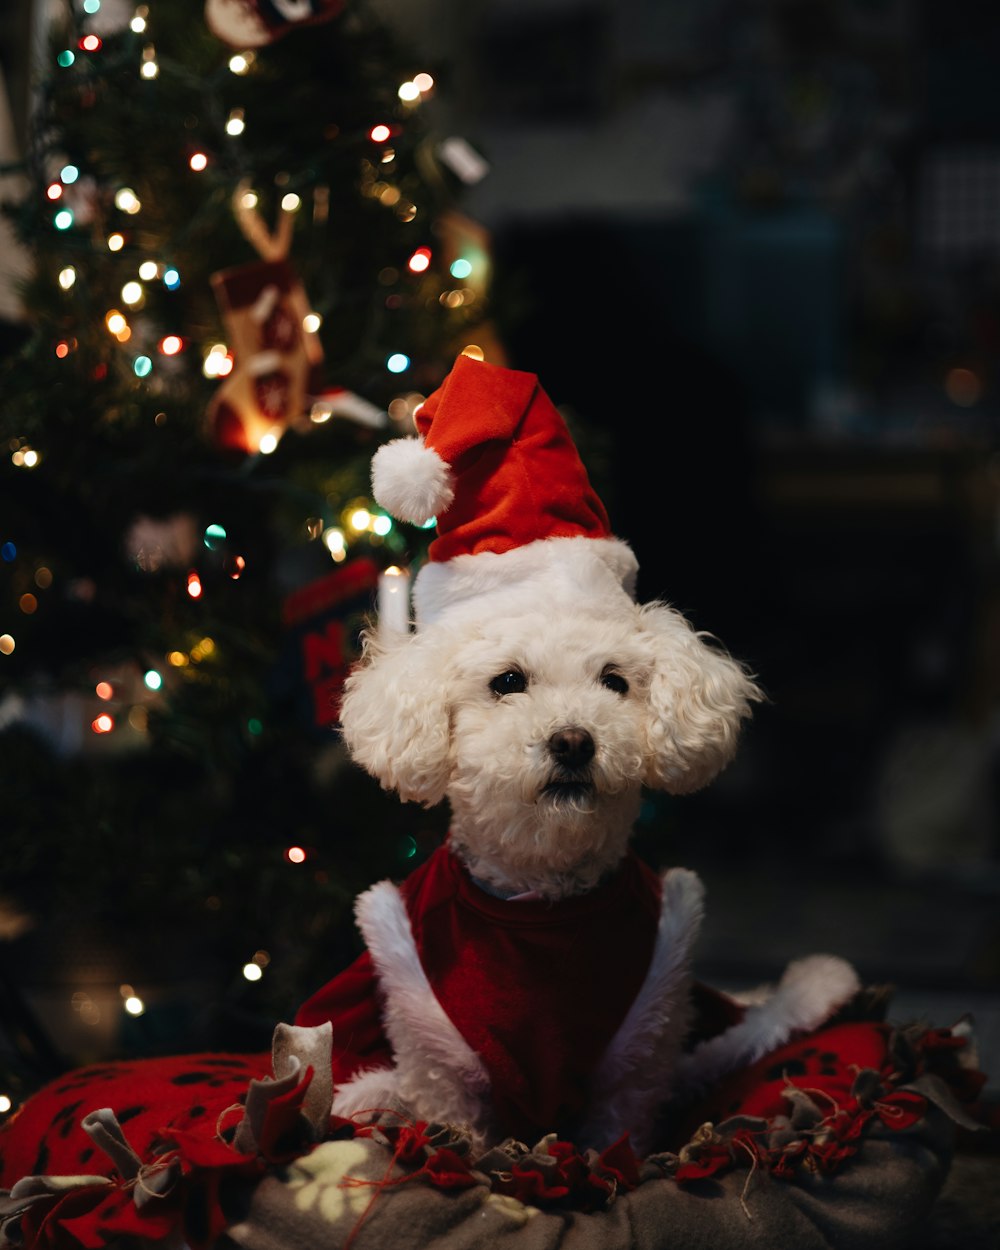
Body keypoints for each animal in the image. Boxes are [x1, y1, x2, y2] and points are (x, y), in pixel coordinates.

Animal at [295, 352, 860, 1150]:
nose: (572, 741)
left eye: (614, 681)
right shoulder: (441, 1063)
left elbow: (614, 1144)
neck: (543, 901)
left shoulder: (637, 1059)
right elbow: (457, 1131)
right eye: (507, 681)